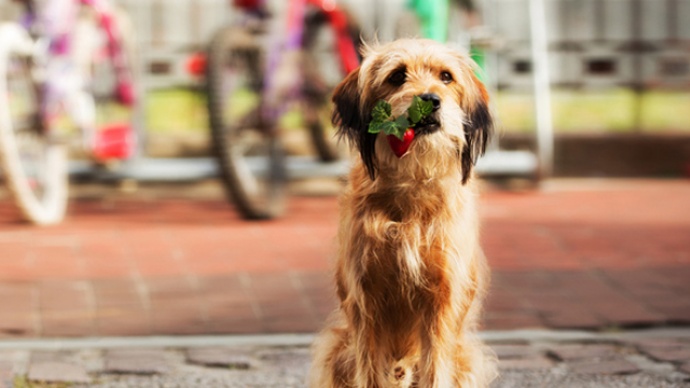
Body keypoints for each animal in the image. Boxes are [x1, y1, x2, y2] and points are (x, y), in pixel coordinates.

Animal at [310, 40, 498, 388]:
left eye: (446, 76)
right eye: (397, 76)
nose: (431, 100)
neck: (412, 181)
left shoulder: (440, 299)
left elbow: (435, 366)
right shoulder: (366, 300)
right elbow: (370, 369)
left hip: (464, 358)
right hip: (338, 350)